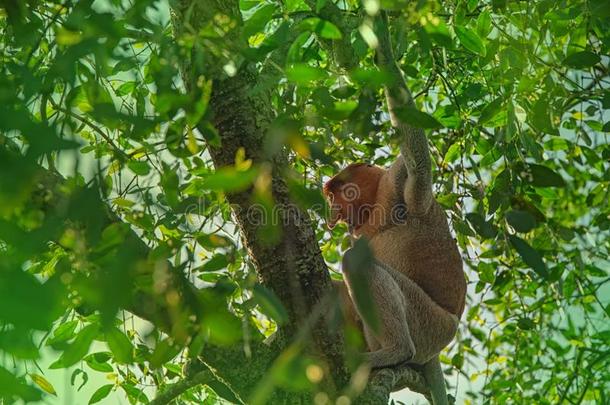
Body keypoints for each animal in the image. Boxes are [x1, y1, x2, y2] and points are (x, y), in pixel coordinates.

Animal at [324, 12, 466, 404]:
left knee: (356, 262)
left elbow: (417, 164)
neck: (375, 204)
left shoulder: (397, 184)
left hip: (429, 325)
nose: (332, 216)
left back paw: (395, 351)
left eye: (338, 193)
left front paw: (383, 47)